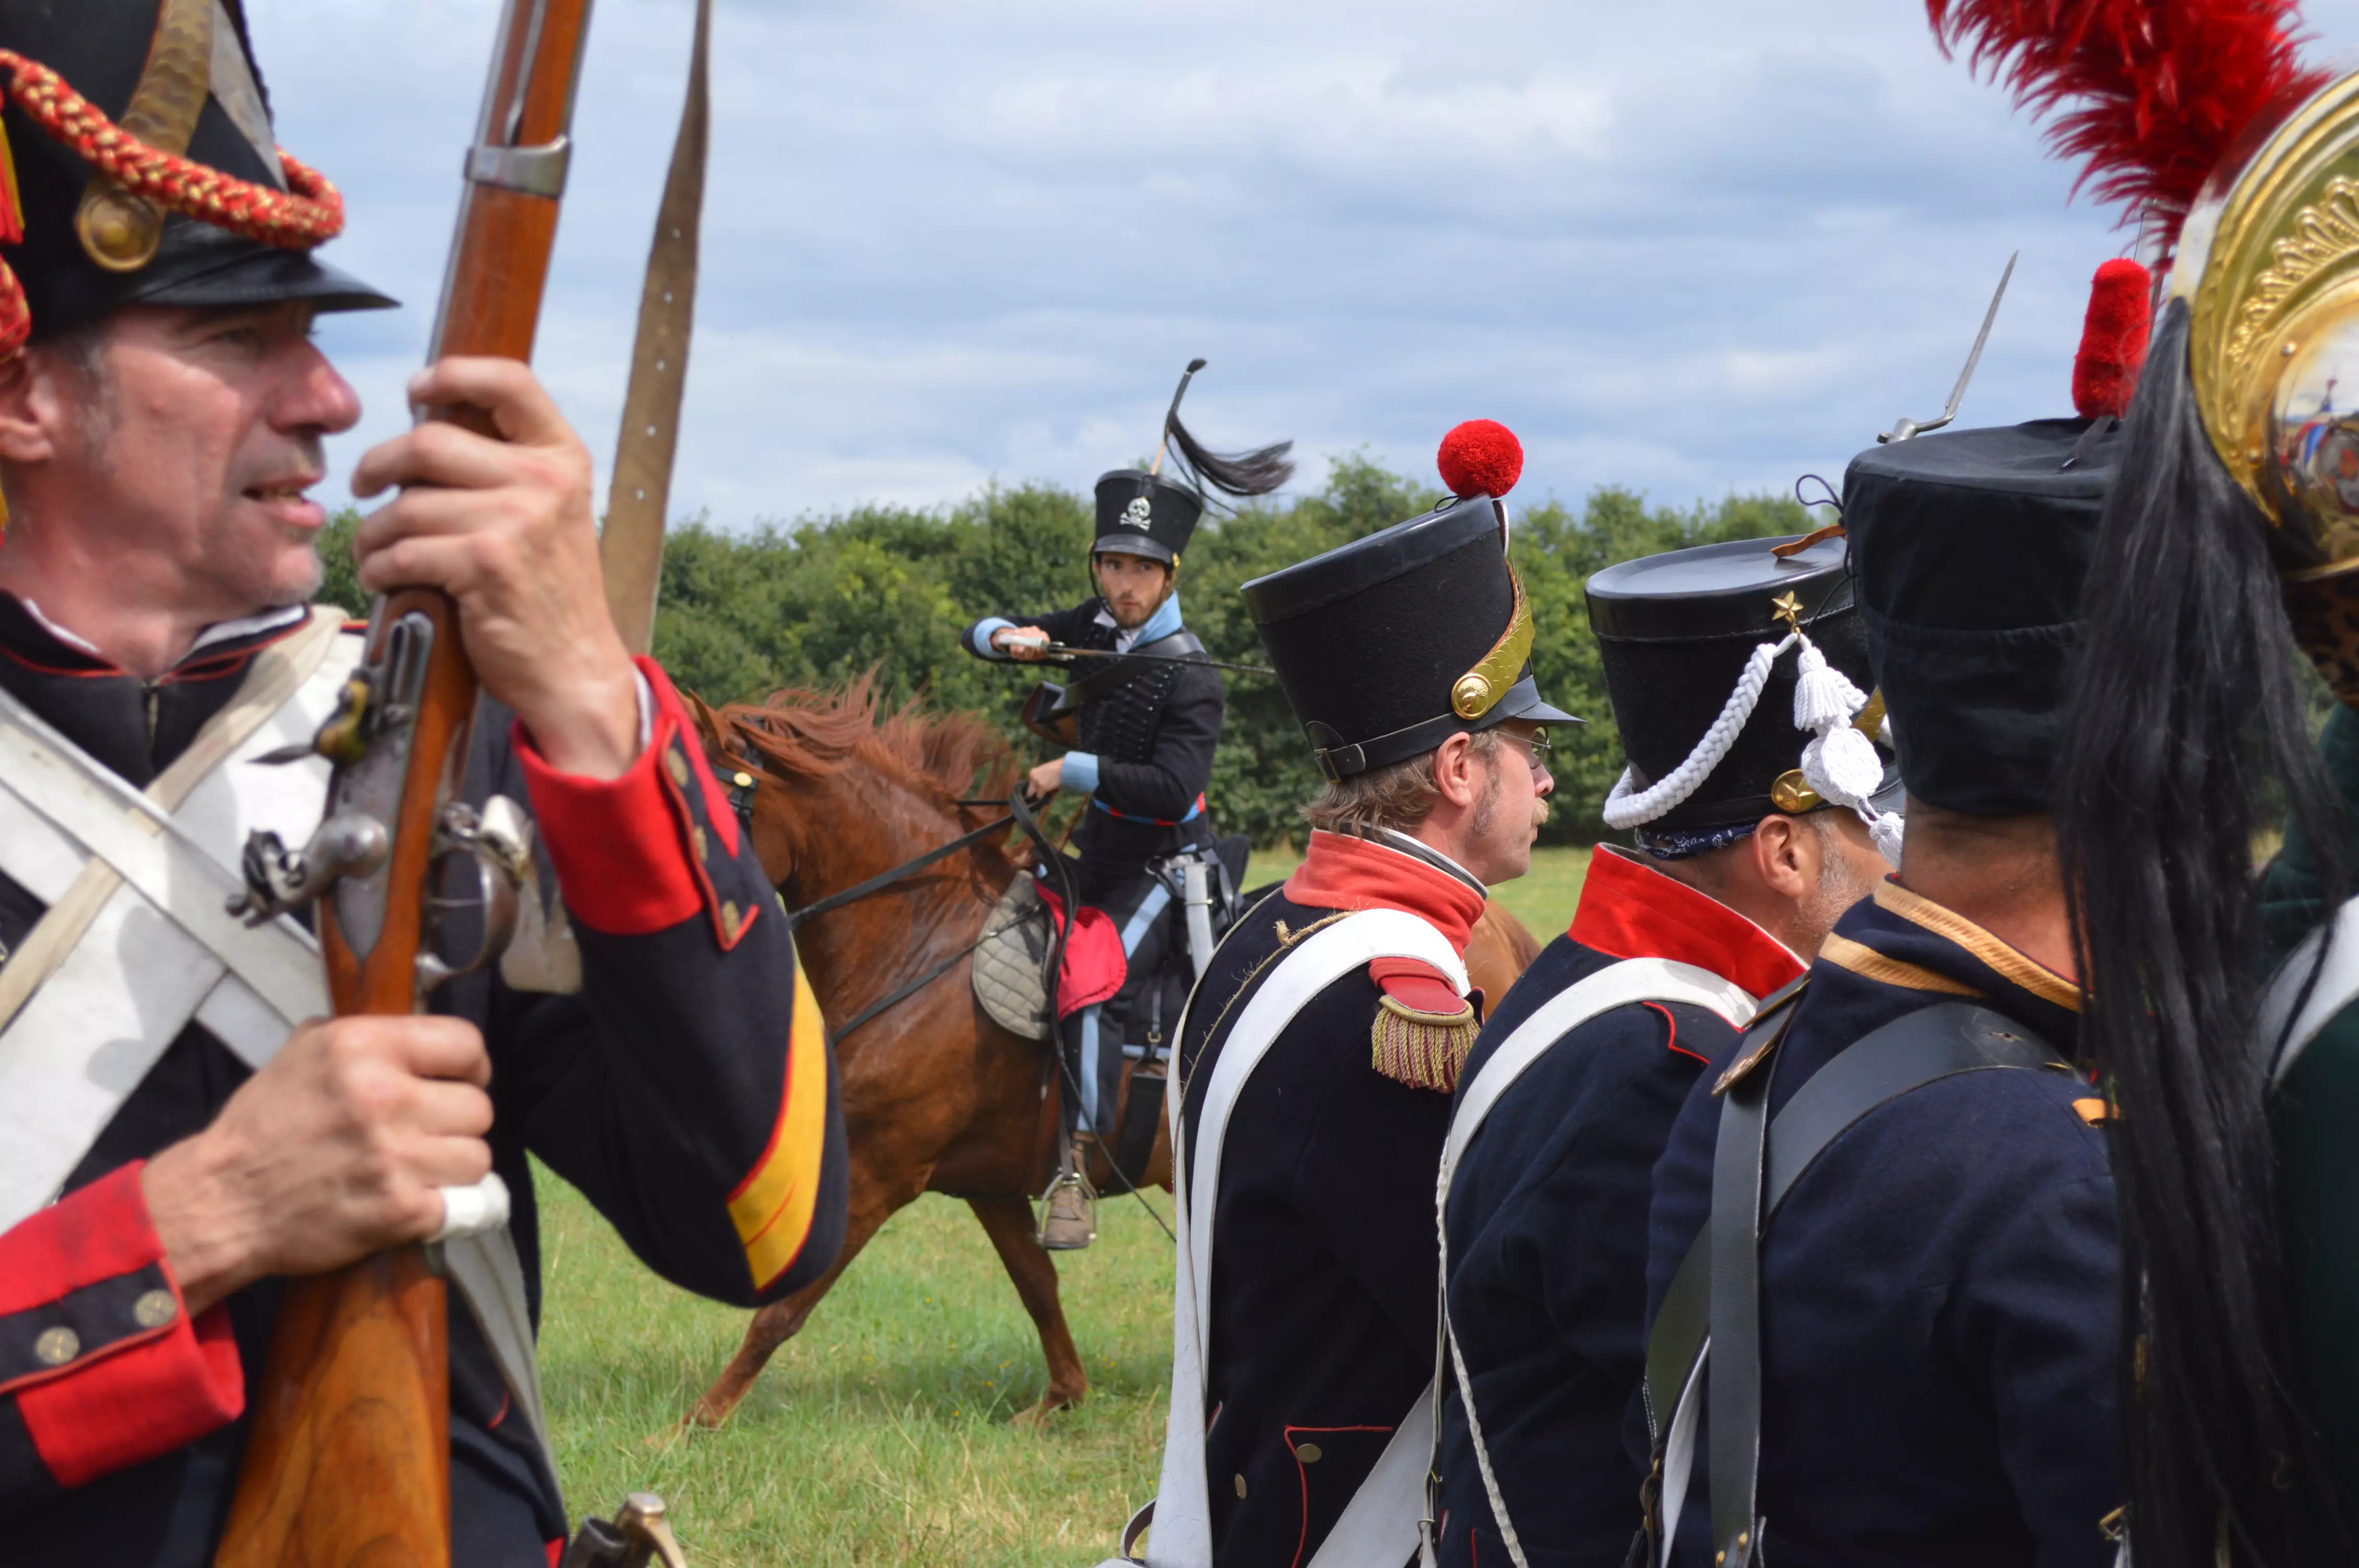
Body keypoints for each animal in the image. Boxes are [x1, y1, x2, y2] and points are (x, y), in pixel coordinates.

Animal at [679, 674, 1547, 1433]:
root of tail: (1501, 928)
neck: (926, 940)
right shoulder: (983, 1182)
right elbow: (1038, 1284)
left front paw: (700, 1422)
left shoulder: (880, 1173)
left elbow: (784, 1309)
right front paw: (1062, 1398)